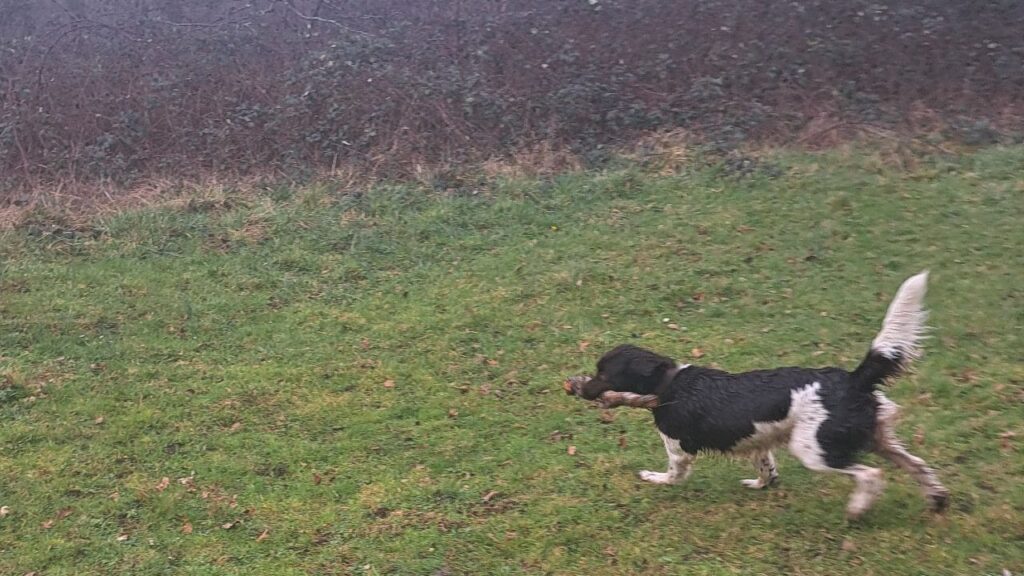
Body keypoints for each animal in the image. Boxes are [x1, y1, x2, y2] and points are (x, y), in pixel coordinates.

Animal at [565, 270, 946, 518]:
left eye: (603, 374)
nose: (576, 386)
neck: (669, 384)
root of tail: (853, 380)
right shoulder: (759, 441)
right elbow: (767, 469)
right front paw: (762, 485)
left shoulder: (678, 448)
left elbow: (674, 475)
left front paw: (653, 478)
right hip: (877, 438)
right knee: (919, 466)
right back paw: (937, 500)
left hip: (815, 448)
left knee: (871, 475)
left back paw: (857, 509)